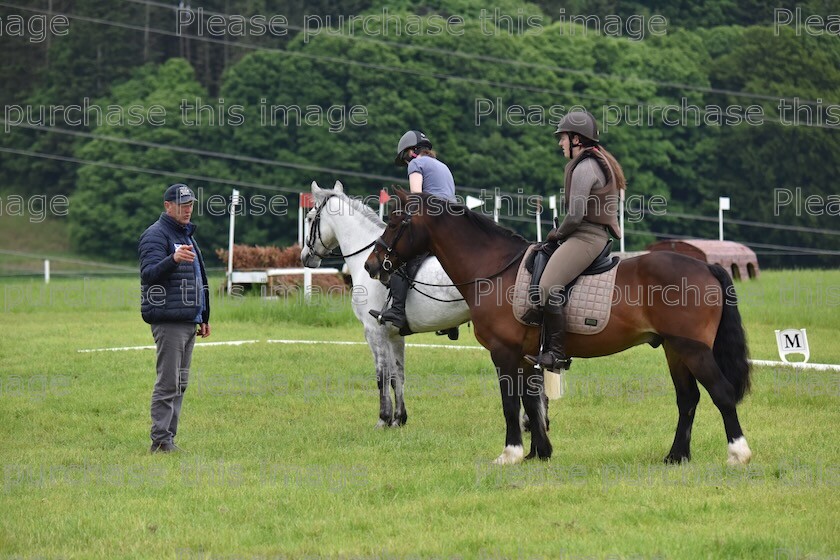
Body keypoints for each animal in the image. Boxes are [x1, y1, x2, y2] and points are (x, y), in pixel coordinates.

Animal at [366, 190, 756, 466]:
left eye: (396, 222)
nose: (372, 264)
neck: (495, 269)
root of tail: (706, 267)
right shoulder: (526, 357)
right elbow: (530, 401)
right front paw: (539, 452)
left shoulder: (504, 353)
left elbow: (511, 403)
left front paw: (510, 453)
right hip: (675, 350)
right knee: (688, 399)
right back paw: (676, 456)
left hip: (692, 349)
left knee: (721, 392)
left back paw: (738, 453)